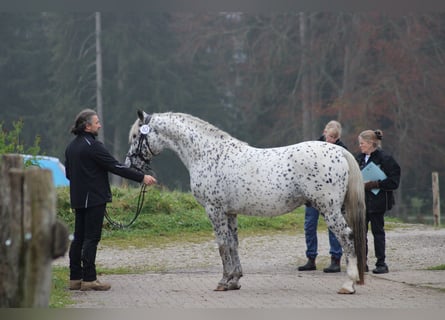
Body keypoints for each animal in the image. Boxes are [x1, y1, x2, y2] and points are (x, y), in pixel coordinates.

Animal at [124, 110, 364, 296]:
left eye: (136, 135)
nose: (130, 165)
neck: (207, 154)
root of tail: (340, 152)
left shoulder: (215, 210)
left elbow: (222, 245)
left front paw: (223, 282)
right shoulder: (230, 213)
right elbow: (233, 244)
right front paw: (234, 280)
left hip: (330, 210)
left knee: (346, 237)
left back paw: (348, 284)